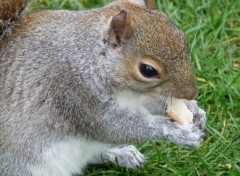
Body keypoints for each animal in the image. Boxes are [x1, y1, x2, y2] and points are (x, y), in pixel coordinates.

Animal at [0, 0, 206, 175]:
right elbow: (112, 127)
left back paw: (119, 154)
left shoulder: (143, 97)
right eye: (148, 70)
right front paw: (178, 132)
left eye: (183, 38)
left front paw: (196, 110)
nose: (192, 93)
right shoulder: (74, 92)